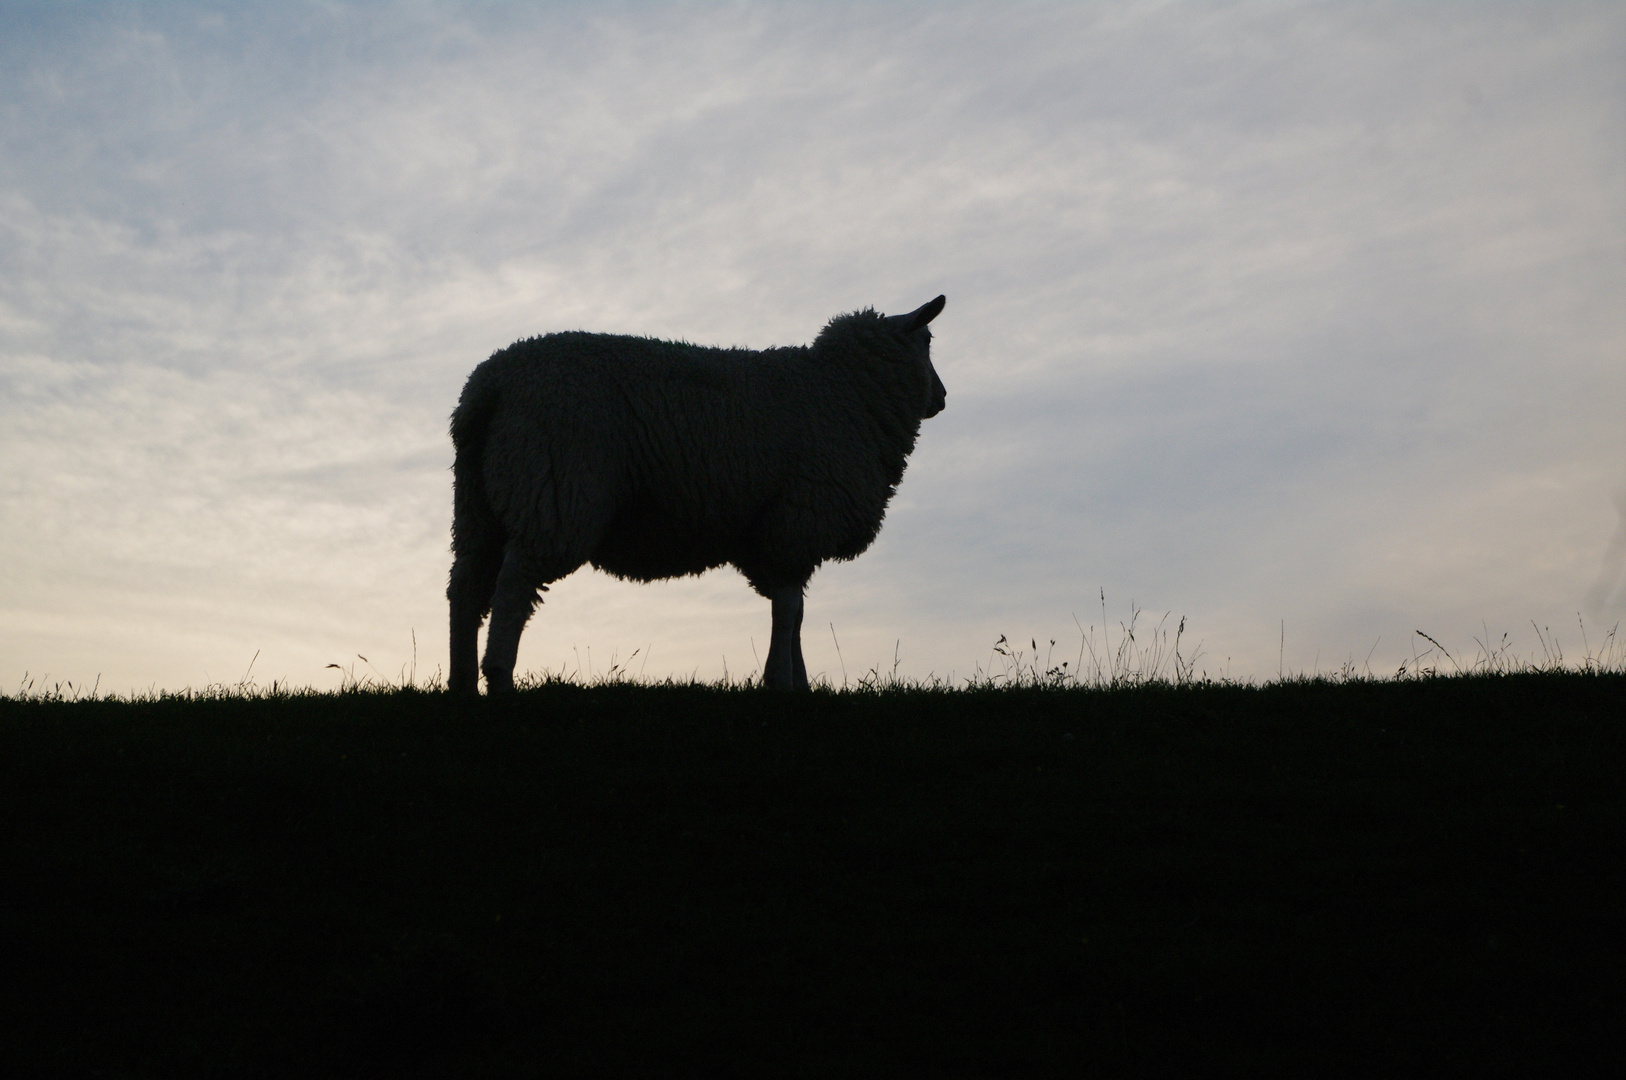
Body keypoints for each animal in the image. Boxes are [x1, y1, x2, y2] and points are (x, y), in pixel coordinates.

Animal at [452, 292, 949, 692]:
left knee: (466, 589)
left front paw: (799, 682)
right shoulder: (795, 520)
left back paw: (462, 683)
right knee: (513, 586)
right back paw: (498, 676)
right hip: (555, 489)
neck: (845, 392)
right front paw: (781, 680)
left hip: (479, 501)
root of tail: (489, 384)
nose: (942, 399)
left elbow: (795, 613)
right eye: (926, 341)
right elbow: (789, 611)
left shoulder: (772, 534)